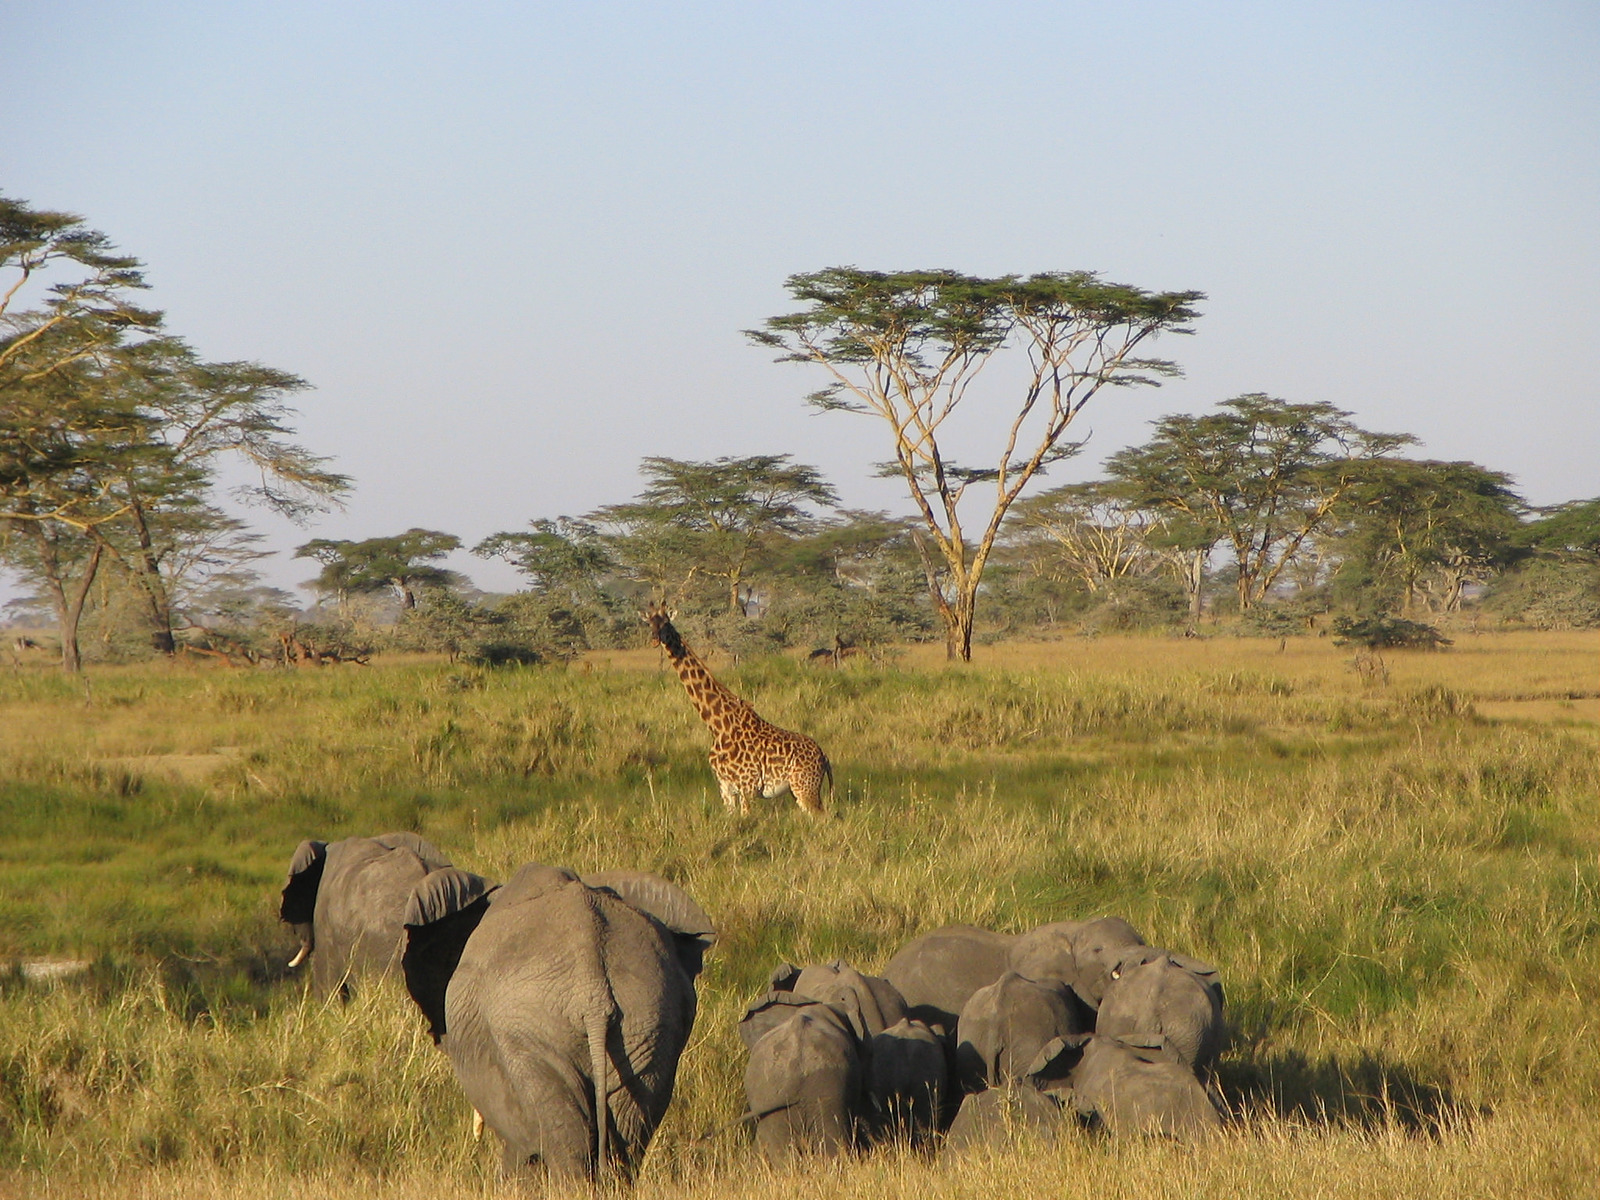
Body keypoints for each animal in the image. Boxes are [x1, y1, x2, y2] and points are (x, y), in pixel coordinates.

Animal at [643, 601, 832, 819]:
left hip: (805, 788)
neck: (718, 725)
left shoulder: (748, 786)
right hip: (799, 790)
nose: (655, 639)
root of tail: (823, 755)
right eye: (649, 623)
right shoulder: (725, 787)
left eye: (666, 622)